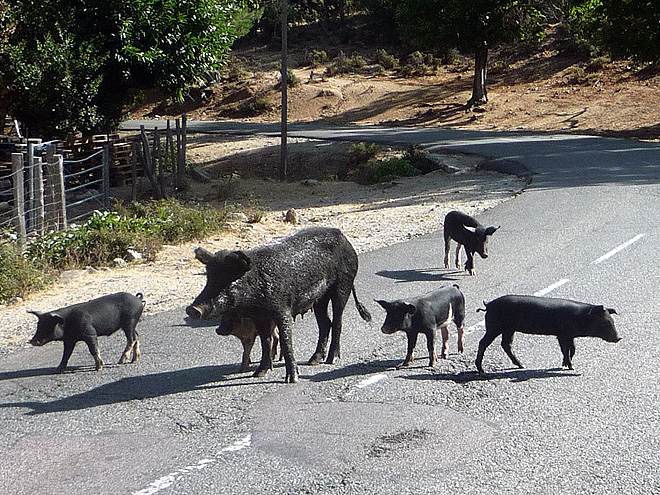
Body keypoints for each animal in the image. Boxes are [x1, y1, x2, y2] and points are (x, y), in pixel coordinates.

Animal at [187, 227, 372, 386]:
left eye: (229, 279)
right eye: (209, 278)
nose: (192, 309)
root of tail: (343, 237)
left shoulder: (282, 309)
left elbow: (285, 340)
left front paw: (292, 379)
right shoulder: (258, 316)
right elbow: (265, 340)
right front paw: (258, 374)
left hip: (343, 284)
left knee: (338, 321)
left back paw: (331, 360)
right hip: (320, 298)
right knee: (325, 323)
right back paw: (313, 361)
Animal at [474, 294, 620, 372]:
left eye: (612, 321)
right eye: (605, 323)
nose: (619, 338)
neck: (581, 317)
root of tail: (489, 305)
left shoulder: (569, 335)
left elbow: (572, 349)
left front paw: (565, 365)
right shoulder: (562, 334)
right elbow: (565, 349)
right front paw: (570, 367)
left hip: (509, 329)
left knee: (506, 344)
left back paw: (522, 365)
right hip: (494, 327)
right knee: (483, 343)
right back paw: (482, 371)